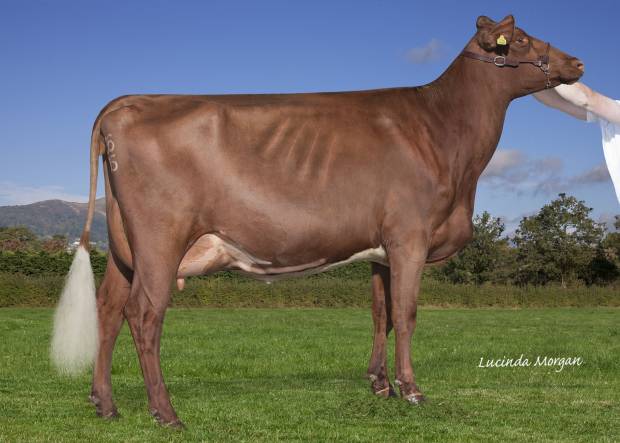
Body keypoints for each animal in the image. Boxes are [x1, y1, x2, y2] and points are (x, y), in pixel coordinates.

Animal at [52, 15, 580, 428]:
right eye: (523, 40)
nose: (577, 63)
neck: (445, 135)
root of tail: (127, 102)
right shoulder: (410, 236)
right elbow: (408, 313)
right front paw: (411, 390)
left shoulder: (381, 248)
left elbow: (382, 313)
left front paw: (379, 385)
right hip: (161, 239)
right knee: (144, 314)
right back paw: (166, 413)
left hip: (125, 245)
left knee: (108, 308)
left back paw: (105, 404)